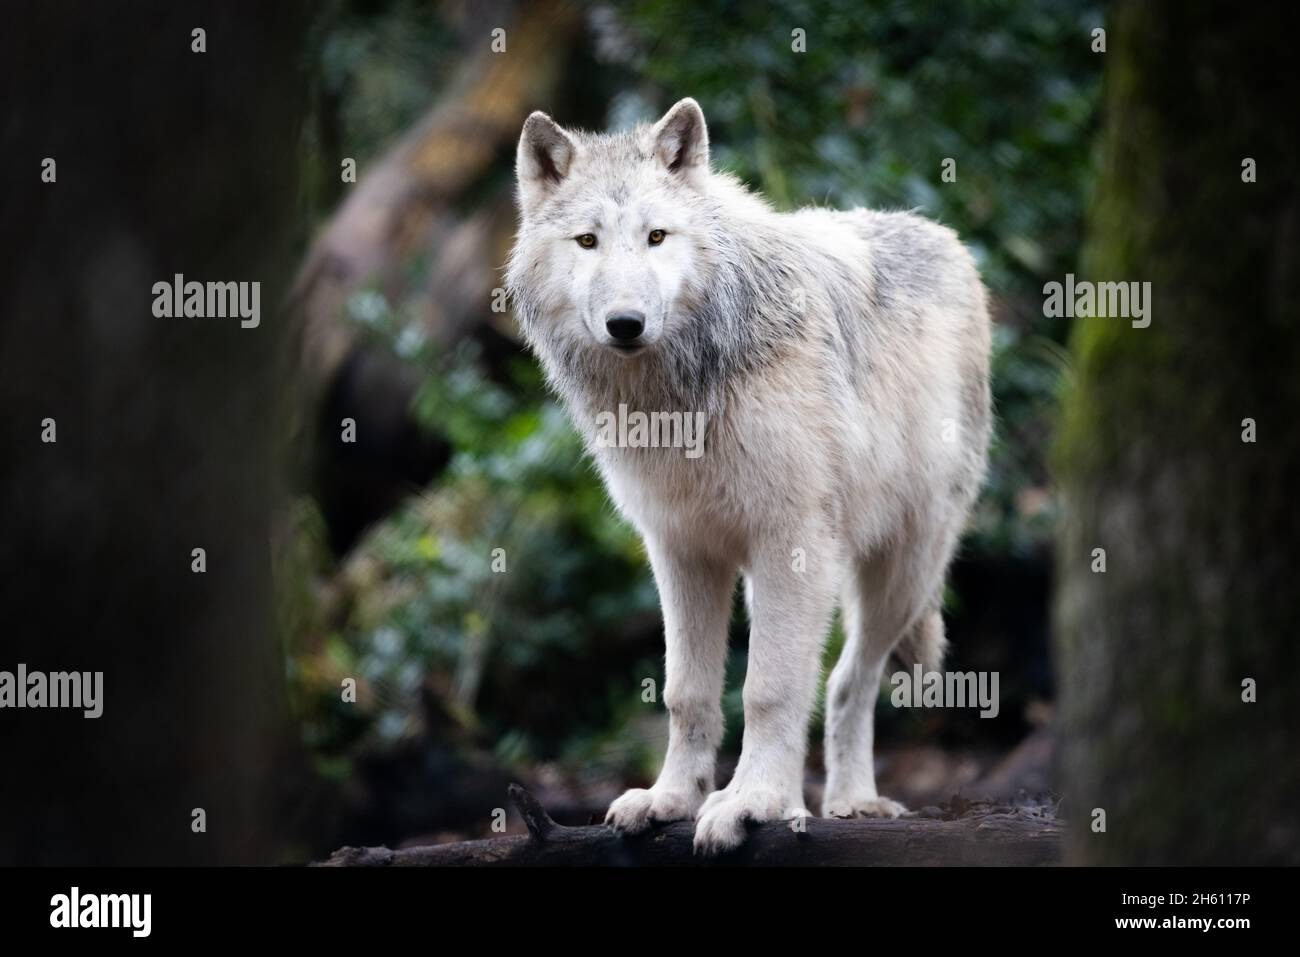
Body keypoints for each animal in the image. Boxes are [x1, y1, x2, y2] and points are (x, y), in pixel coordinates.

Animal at [506, 99, 991, 854]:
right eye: (587, 241)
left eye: (656, 237)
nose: (626, 323)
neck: (676, 400)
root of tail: (940, 234)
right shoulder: (680, 550)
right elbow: (687, 693)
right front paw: (674, 798)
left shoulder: (792, 541)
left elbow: (768, 690)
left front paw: (748, 802)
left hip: (901, 571)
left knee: (849, 679)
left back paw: (850, 802)